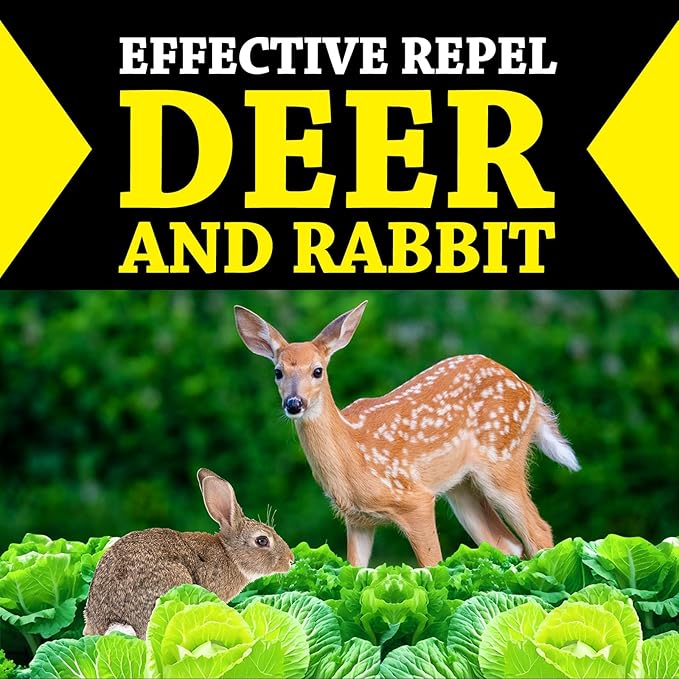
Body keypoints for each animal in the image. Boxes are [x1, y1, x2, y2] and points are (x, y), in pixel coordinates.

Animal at [234, 300, 580, 568]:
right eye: (278, 372)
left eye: (317, 371)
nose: (294, 403)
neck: (353, 456)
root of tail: (530, 392)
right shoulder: (357, 521)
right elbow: (355, 573)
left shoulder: (416, 500)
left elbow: (433, 567)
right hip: (462, 486)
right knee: (506, 543)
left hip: (502, 459)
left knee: (538, 532)